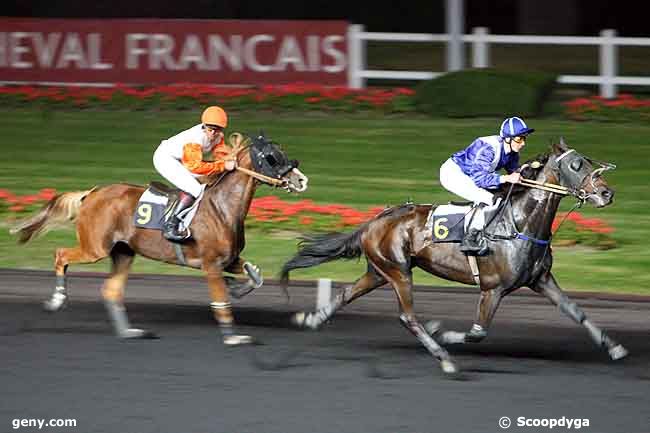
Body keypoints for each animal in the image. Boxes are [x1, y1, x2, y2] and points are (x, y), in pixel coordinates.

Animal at [11, 133, 308, 342]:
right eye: (271, 156)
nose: (301, 180)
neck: (222, 207)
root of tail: (92, 193)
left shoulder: (228, 259)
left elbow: (255, 274)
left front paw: (236, 287)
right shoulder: (210, 264)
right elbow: (221, 301)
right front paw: (233, 336)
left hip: (123, 252)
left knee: (111, 290)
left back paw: (129, 332)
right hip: (95, 247)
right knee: (61, 255)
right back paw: (56, 300)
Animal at [280, 139, 624, 374]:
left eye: (586, 160)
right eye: (576, 165)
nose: (606, 193)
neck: (518, 223)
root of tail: (374, 221)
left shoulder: (541, 280)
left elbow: (576, 311)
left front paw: (615, 348)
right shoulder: (492, 289)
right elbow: (477, 332)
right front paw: (442, 332)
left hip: (380, 271)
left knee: (347, 293)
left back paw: (311, 318)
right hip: (399, 272)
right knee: (408, 317)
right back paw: (444, 358)